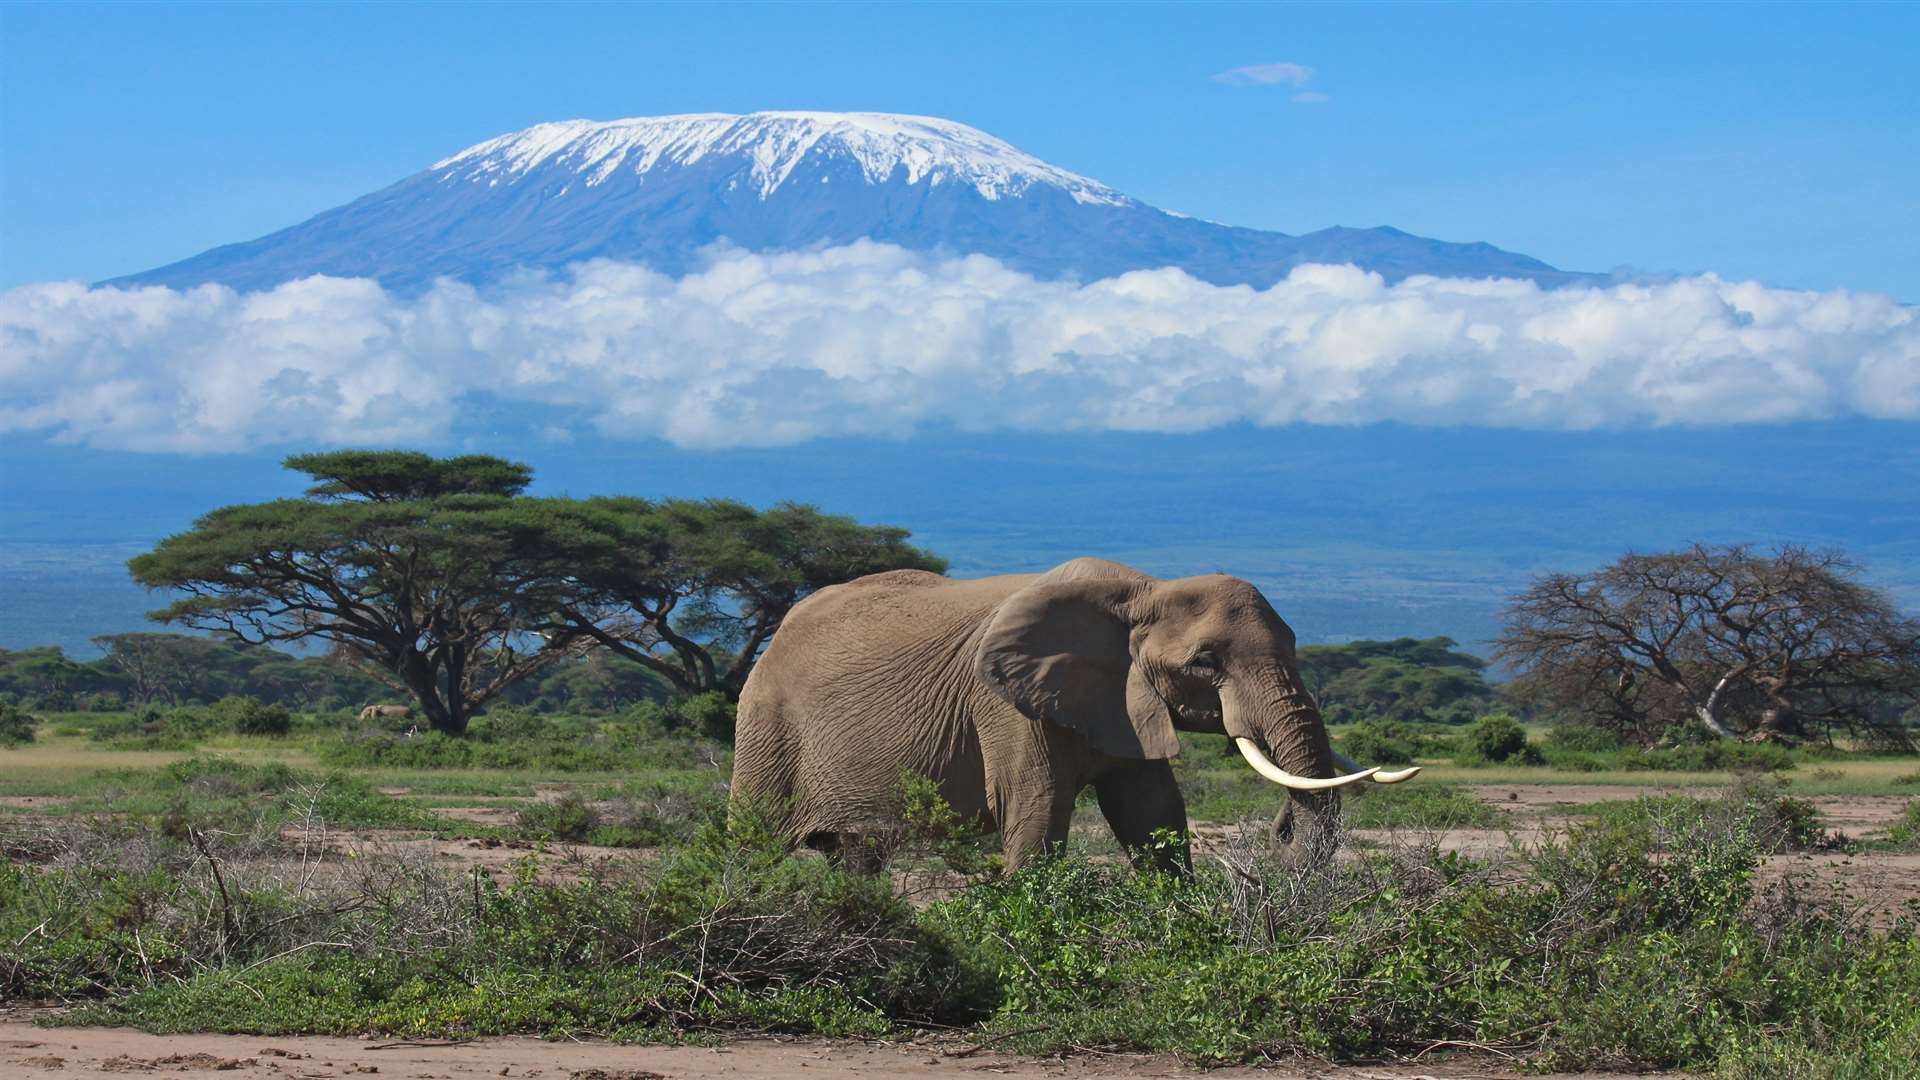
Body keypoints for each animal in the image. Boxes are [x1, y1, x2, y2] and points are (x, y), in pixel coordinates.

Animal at [725, 553, 1420, 864]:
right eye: (1205, 663)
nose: (1279, 831)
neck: (1142, 589)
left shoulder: (1126, 699)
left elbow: (1152, 813)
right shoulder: (1004, 704)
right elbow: (1035, 807)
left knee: (854, 856)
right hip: (764, 725)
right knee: (755, 841)